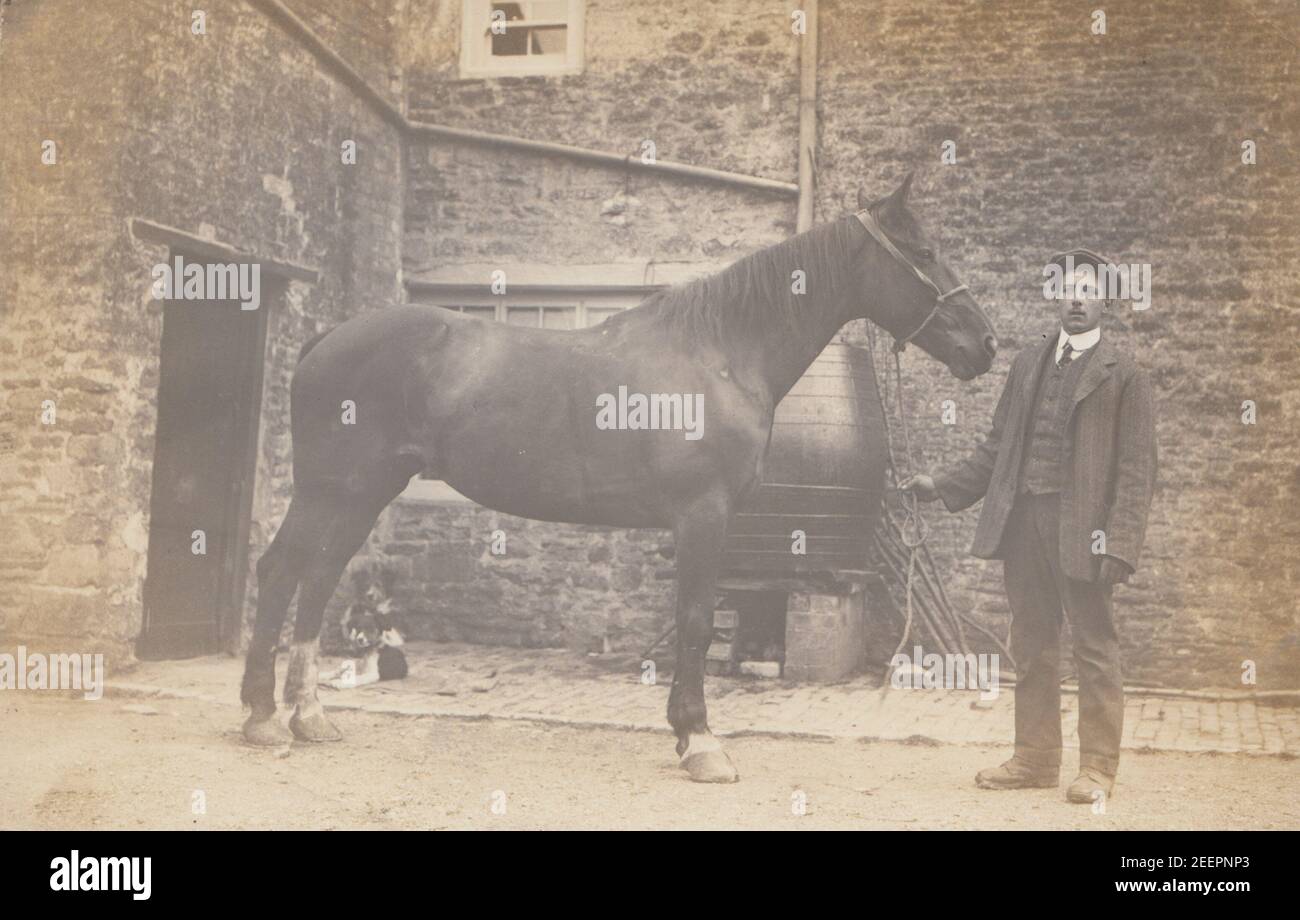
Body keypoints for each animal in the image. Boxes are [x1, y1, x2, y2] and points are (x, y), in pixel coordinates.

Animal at [241, 174, 993, 784]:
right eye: (924, 252)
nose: (983, 344)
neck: (719, 353)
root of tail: (327, 340)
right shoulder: (702, 515)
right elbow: (695, 623)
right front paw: (701, 743)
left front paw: (686, 733)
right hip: (331, 489)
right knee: (281, 573)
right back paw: (260, 716)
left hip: (364, 495)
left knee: (319, 580)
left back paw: (309, 716)